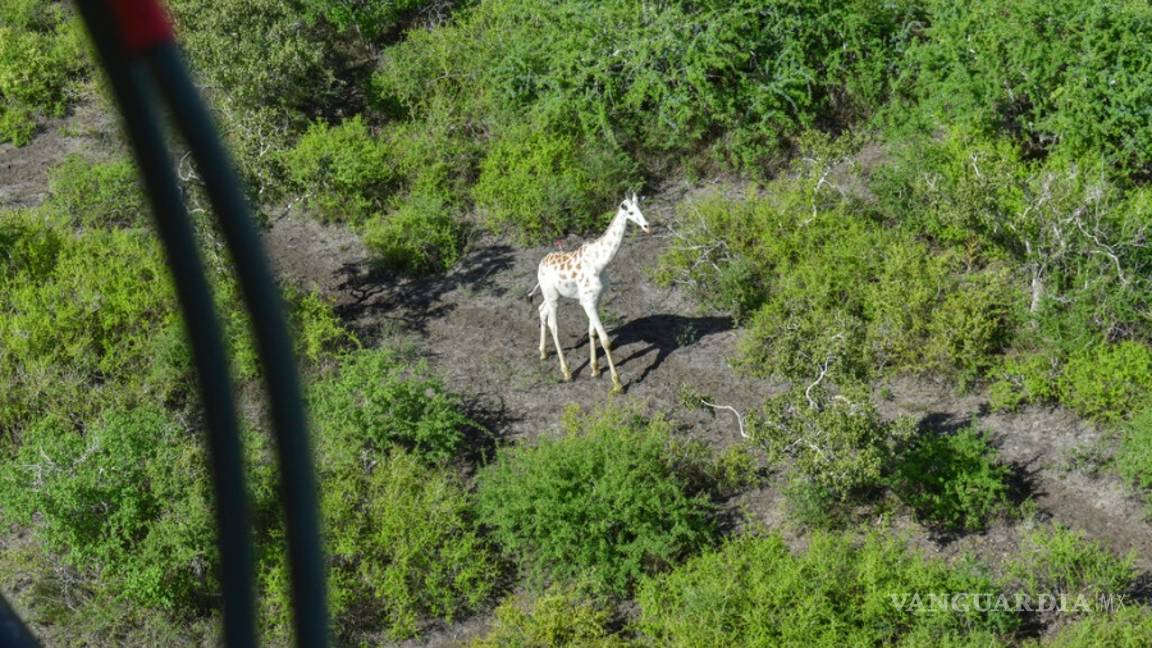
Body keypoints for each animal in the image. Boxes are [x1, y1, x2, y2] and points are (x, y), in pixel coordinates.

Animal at [528, 193, 650, 393]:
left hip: (552, 294)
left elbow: (592, 333)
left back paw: (543, 353)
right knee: (554, 325)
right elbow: (605, 340)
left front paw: (595, 369)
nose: (647, 226)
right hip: (552, 297)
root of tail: (540, 265)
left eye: (641, 208)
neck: (600, 263)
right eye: (631, 212)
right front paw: (617, 383)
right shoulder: (587, 301)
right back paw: (566, 372)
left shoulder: (596, 299)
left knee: (541, 310)